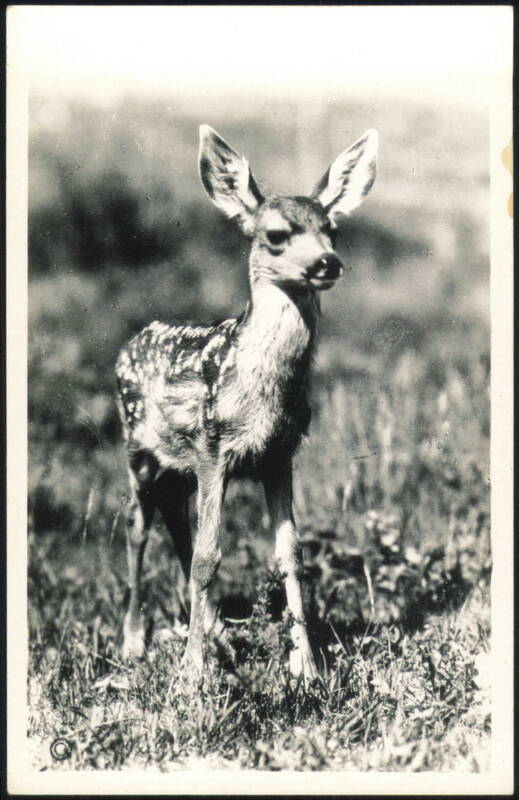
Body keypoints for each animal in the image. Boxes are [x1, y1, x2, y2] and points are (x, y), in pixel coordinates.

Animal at [115, 124, 378, 683]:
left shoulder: (279, 455)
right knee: (137, 529)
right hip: (138, 451)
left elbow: (290, 555)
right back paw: (134, 640)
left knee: (176, 524)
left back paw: (216, 633)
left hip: (178, 467)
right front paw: (191, 675)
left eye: (333, 231)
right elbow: (209, 556)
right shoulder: (214, 448)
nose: (328, 263)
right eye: (276, 235)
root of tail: (132, 340)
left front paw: (306, 665)